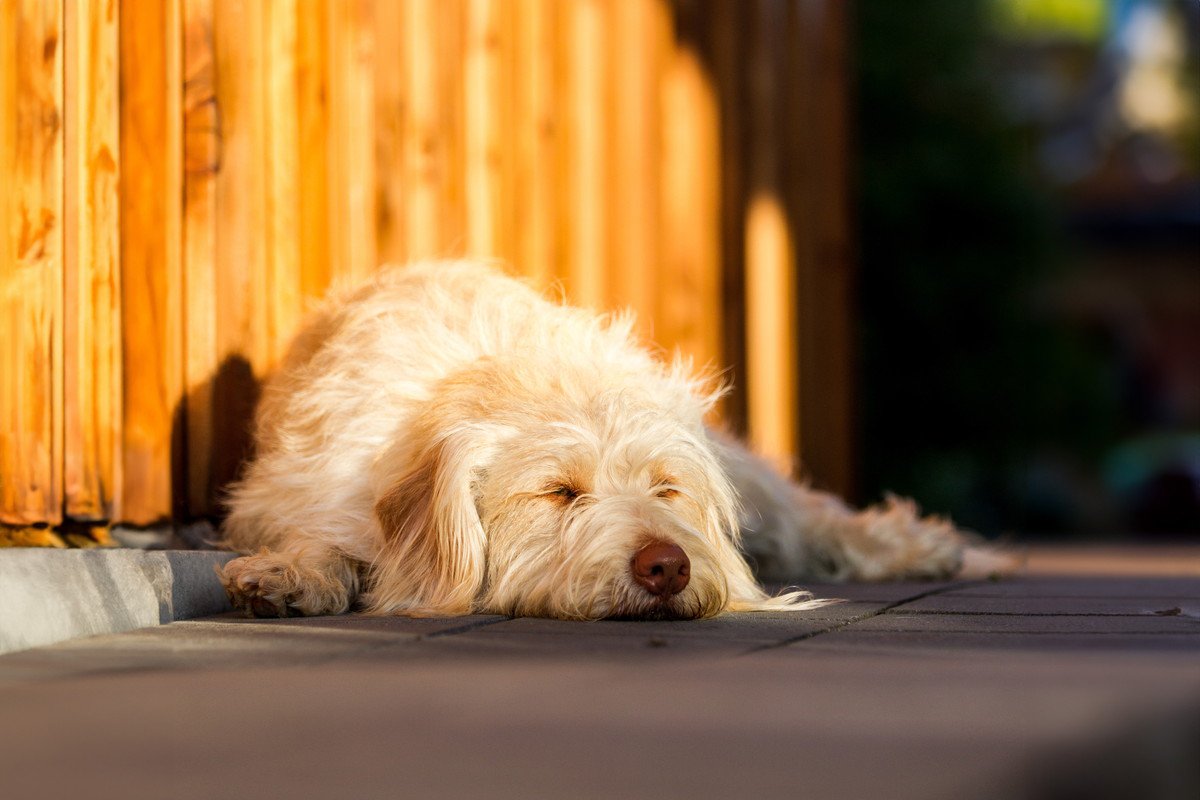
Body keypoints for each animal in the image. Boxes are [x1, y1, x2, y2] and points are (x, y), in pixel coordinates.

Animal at [220, 262, 969, 618]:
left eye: (667, 488)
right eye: (560, 493)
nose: (667, 567)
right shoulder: (314, 487)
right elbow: (325, 539)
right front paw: (291, 575)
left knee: (813, 518)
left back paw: (932, 547)